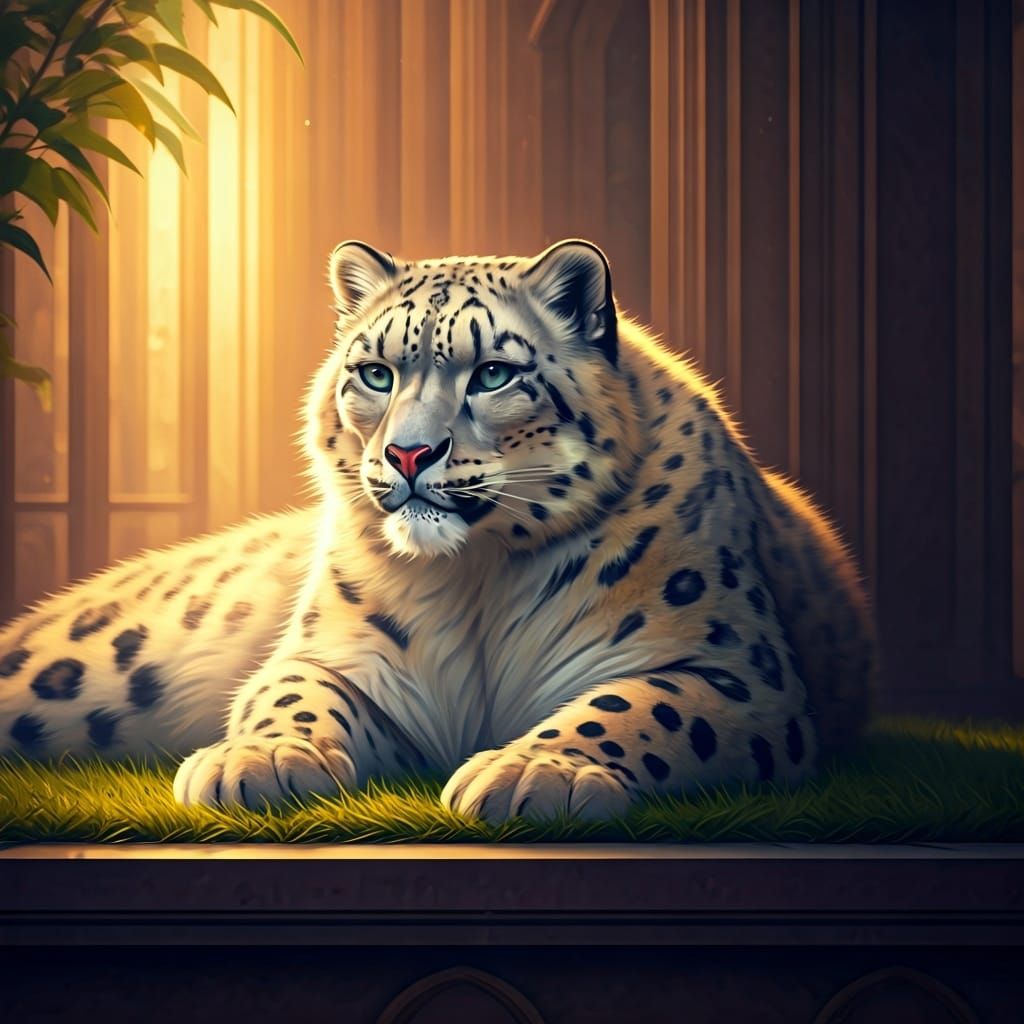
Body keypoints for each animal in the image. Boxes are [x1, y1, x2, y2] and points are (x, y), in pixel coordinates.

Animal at [0, 238, 876, 823]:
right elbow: (292, 692)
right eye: (375, 372)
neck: (475, 583)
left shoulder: (734, 671)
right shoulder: (339, 654)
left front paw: (535, 771)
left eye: (493, 373)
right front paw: (262, 757)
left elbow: (636, 706)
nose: (410, 452)